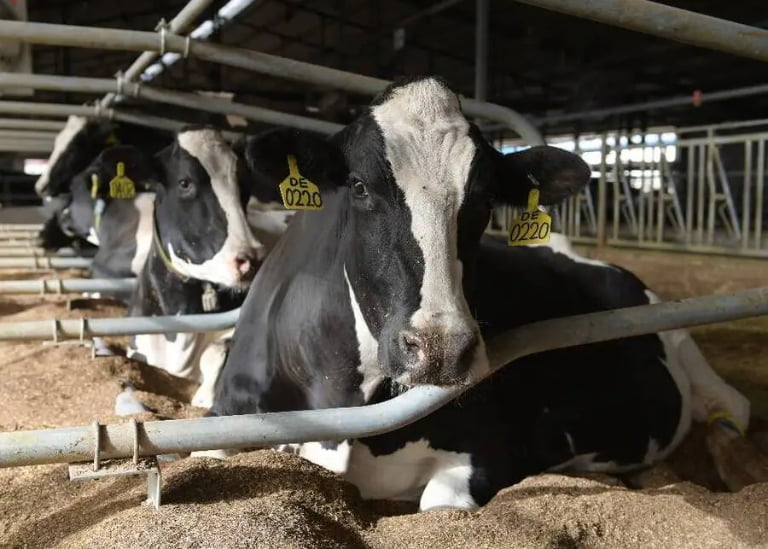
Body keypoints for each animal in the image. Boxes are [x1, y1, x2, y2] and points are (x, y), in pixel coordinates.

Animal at [203, 76, 751, 510]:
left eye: (486, 198)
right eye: (358, 186)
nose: (441, 348)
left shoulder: (488, 452)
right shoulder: (224, 416)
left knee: (733, 412)